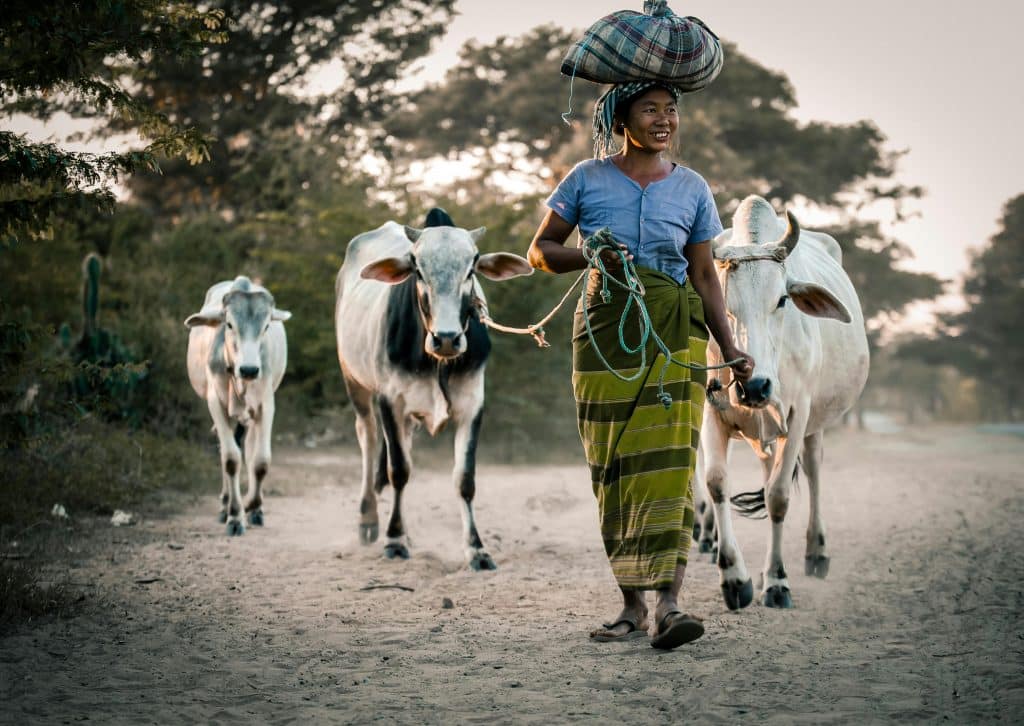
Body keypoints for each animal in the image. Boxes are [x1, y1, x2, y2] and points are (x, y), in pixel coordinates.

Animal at [182, 274, 288, 536]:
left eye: (266, 326)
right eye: (229, 324)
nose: (249, 369)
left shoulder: (266, 405)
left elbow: (260, 461)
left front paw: (254, 508)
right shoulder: (216, 404)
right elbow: (230, 459)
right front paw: (234, 516)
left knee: (248, 449)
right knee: (229, 449)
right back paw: (224, 505)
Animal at [335, 206, 532, 569]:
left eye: (472, 267)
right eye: (417, 268)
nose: (447, 338)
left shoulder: (472, 404)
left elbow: (464, 479)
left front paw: (476, 549)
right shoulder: (389, 400)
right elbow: (398, 470)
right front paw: (394, 540)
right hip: (355, 382)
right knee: (368, 440)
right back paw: (369, 520)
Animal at [692, 195, 868, 610]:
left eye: (783, 300)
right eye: (721, 304)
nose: (754, 386)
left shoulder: (798, 412)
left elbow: (778, 497)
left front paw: (776, 581)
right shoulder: (710, 410)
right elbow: (716, 481)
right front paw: (735, 578)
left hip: (814, 423)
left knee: (813, 471)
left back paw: (816, 553)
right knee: (766, 466)